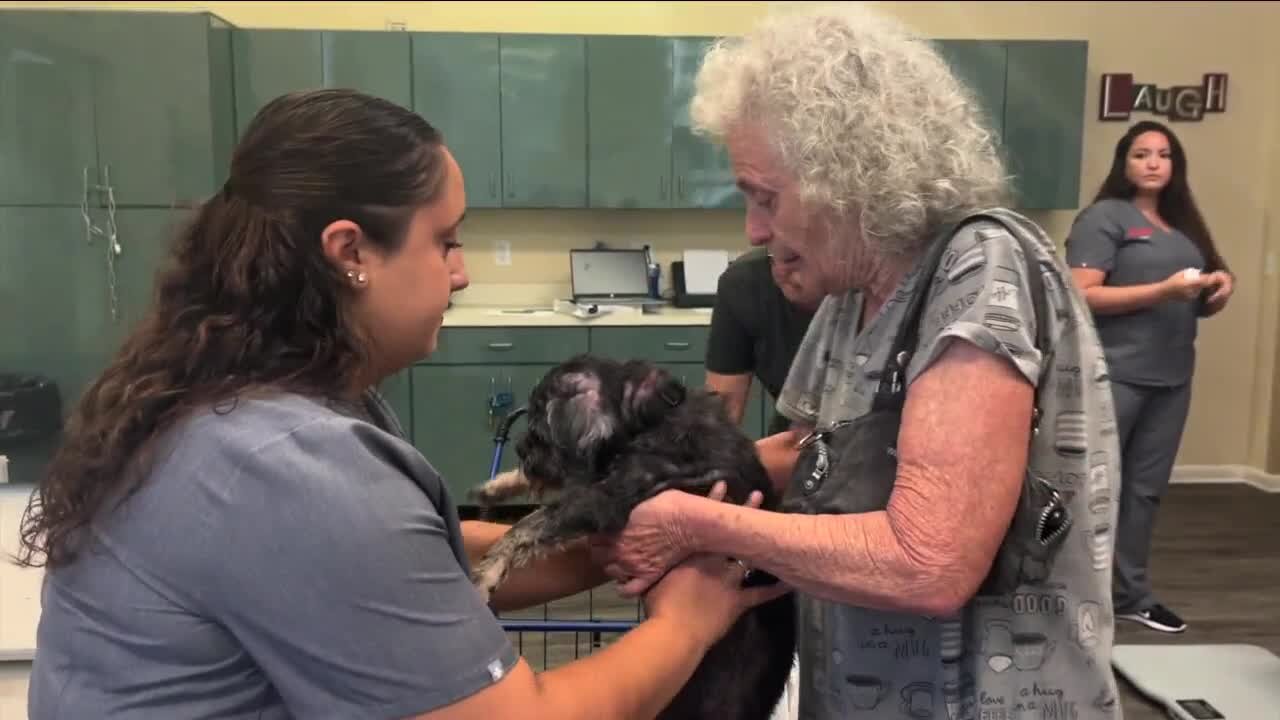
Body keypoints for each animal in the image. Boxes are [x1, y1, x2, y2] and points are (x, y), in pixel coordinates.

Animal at [473, 353, 788, 717]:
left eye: (539, 431)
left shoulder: (602, 499)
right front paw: (496, 486)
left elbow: (526, 525)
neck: (654, 418)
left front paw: (485, 575)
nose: (522, 450)